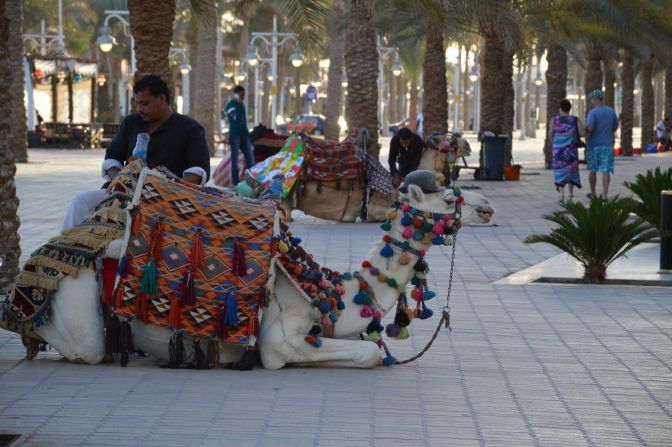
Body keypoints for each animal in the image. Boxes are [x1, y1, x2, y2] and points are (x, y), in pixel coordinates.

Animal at [1, 170, 472, 370]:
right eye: (450, 198)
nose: (484, 208)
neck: (330, 292)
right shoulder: (279, 343)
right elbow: (370, 353)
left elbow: (371, 347)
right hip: (77, 296)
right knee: (80, 343)